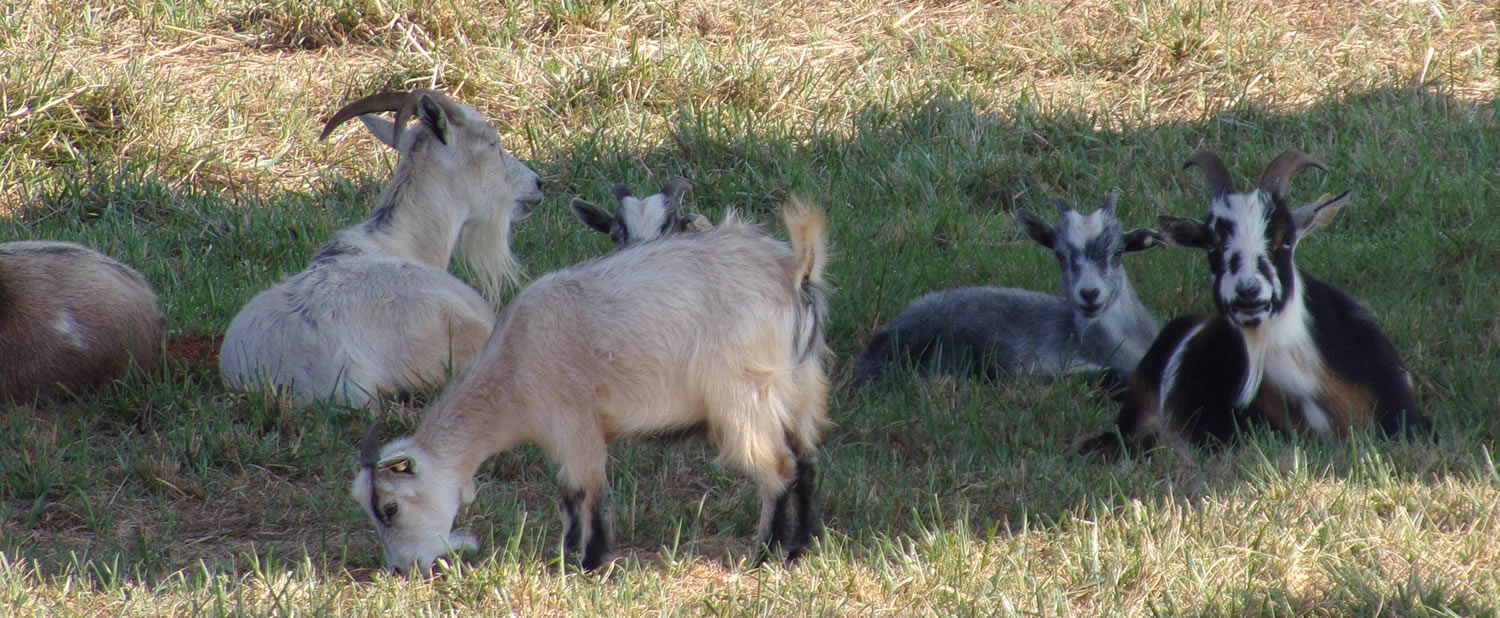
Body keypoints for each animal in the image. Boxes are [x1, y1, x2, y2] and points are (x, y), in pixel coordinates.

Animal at [351, 200, 830, 574]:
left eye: (390, 508)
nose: (401, 570)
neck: (512, 369)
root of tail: (794, 274)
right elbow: (568, 497)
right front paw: (566, 558)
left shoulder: (576, 427)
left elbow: (584, 493)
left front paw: (588, 561)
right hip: (800, 387)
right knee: (806, 461)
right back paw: (800, 548)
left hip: (743, 399)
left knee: (777, 468)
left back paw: (764, 553)